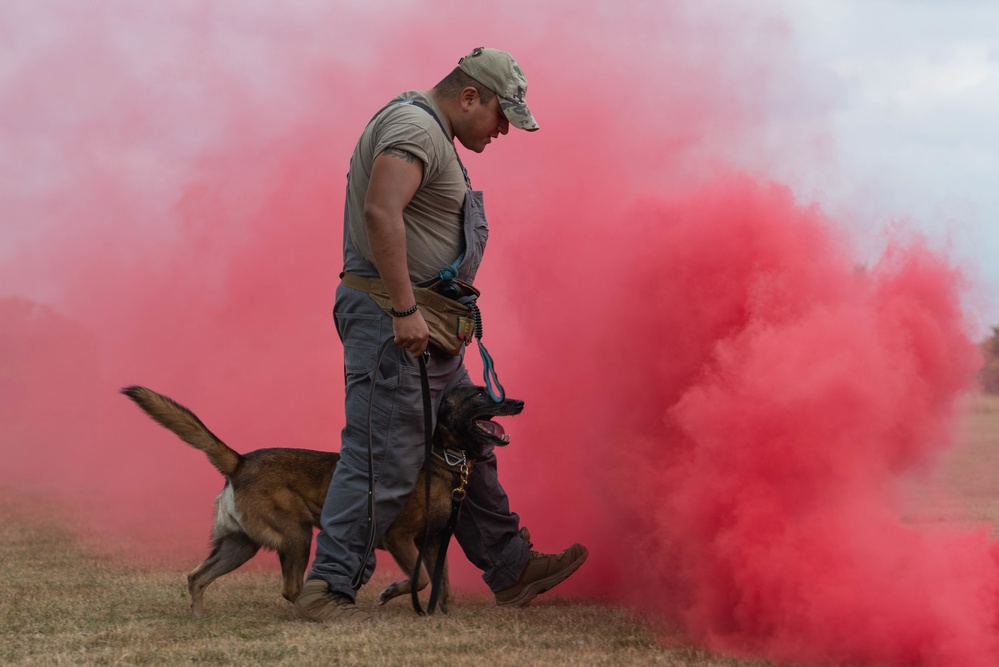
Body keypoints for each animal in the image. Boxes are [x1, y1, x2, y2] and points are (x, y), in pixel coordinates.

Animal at [121, 384, 528, 620]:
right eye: (480, 395)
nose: (520, 401)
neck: (441, 456)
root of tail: (240, 461)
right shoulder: (399, 539)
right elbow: (423, 579)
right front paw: (390, 594)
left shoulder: (431, 543)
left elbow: (442, 585)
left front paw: (438, 617)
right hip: (297, 535)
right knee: (290, 589)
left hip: (241, 546)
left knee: (197, 576)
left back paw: (199, 619)